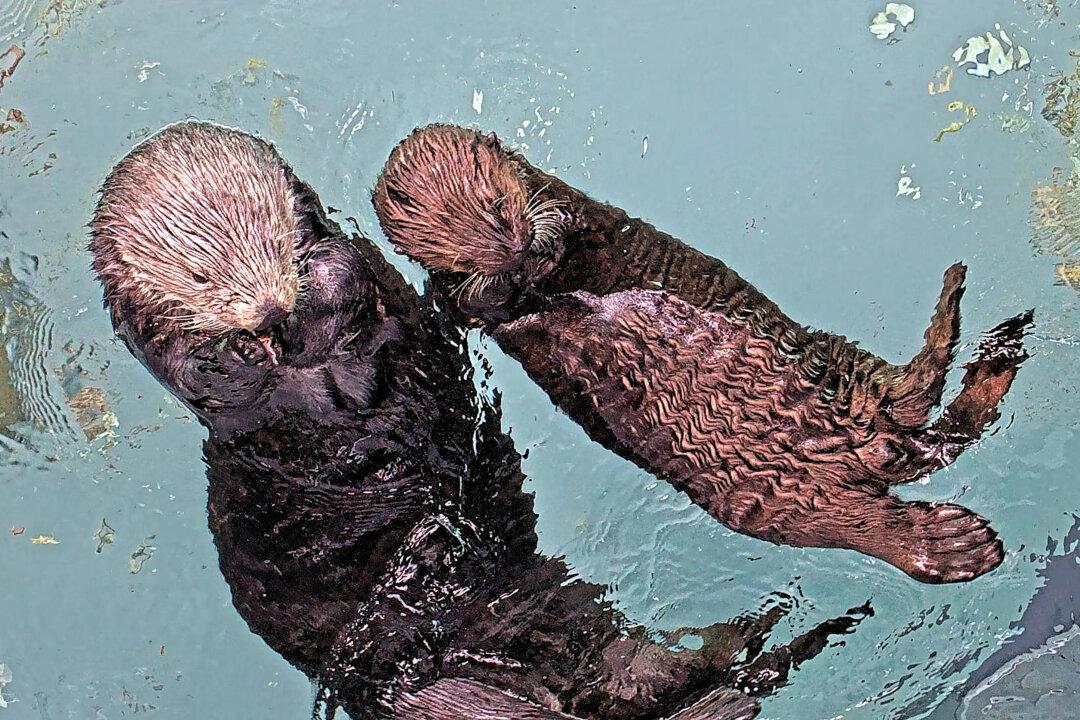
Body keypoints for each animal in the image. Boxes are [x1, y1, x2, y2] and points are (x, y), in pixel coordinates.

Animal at [89, 121, 870, 719]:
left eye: (277, 239)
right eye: (201, 277)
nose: (270, 309)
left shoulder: (371, 295)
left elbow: (356, 286)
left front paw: (314, 286)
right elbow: (207, 379)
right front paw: (238, 353)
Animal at [373, 124, 1033, 585]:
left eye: (497, 204)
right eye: (461, 255)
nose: (515, 257)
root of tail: (871, 446)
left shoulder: (583, 218)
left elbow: (578, 233)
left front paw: (558, 263)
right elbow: (491, 311)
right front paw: (528, 297)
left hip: (832, 368)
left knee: (918, 401)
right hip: (769, 499)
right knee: (863, 506)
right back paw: (955, 541)